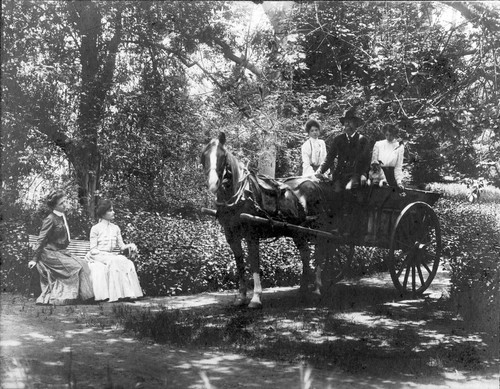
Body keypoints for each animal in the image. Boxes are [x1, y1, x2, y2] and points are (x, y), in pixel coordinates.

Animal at [200, 132, 328, 308]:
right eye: (204, 155)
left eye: (222, 155)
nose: (213, 183)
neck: (240, 196)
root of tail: (315, 184)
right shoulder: (231, 236)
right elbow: (240, 264)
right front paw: (241, 297)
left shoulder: (251, 235)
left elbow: (254, 263)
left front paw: (255, 298)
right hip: (298, 232)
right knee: (306, 255)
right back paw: (303, 289)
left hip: (317, 230)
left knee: (319, 254)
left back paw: (316, 288)